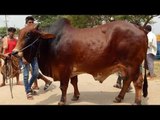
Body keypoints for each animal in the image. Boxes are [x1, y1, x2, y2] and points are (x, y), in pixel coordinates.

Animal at [13, 18, 148, 105]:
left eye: (29, 34)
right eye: (19, 33)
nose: (14, 52)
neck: (51, 41)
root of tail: (139, 28)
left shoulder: (64, 68)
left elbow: (64, 86)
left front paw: (62, 101)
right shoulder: (72, 69)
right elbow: (74, 82)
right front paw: (75, 96)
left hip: (133, 65)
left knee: (137, 82)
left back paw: (137, 101)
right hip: (126, 67)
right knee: (127, 81)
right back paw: (119, 98)